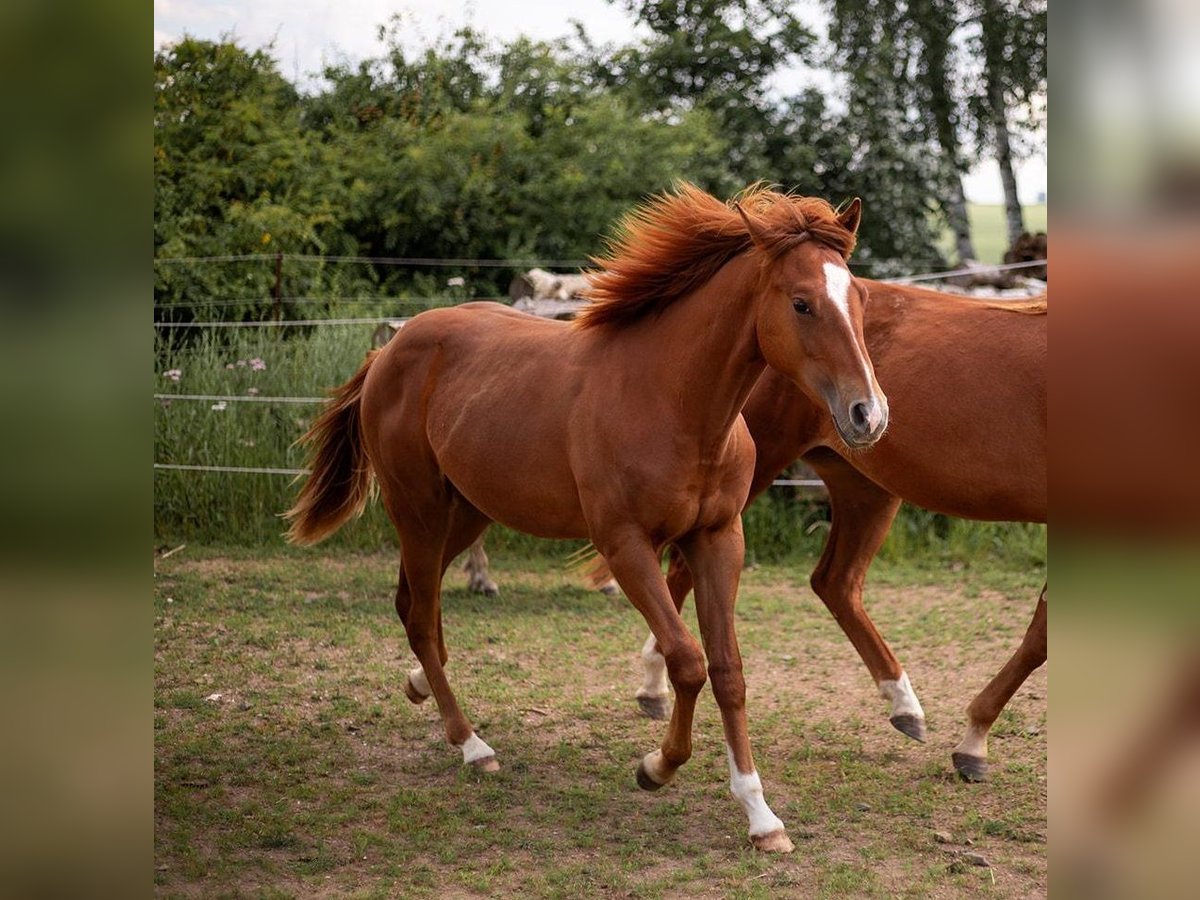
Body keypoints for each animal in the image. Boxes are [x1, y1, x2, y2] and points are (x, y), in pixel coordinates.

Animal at [285, 184, 888, 854]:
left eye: (860, 298)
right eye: (802, 303)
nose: (868, 415)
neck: (669, 400)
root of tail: (390, 347)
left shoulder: (718, 539)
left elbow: (728, 670)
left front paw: (762, 818)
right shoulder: (625, 545)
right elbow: (686, 660)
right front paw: (656, 767)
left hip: (466, 514)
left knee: (414, 603)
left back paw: (422, 687)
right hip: (416, 508)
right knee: (419, 614)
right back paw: (472, 746)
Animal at [633, 282, 1046, 782]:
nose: (868, 411)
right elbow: (1041, 635)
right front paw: (974, 740)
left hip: (865, 489)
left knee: (835, 582)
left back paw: (903, 704)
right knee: (682, 570)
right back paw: (653, 686)